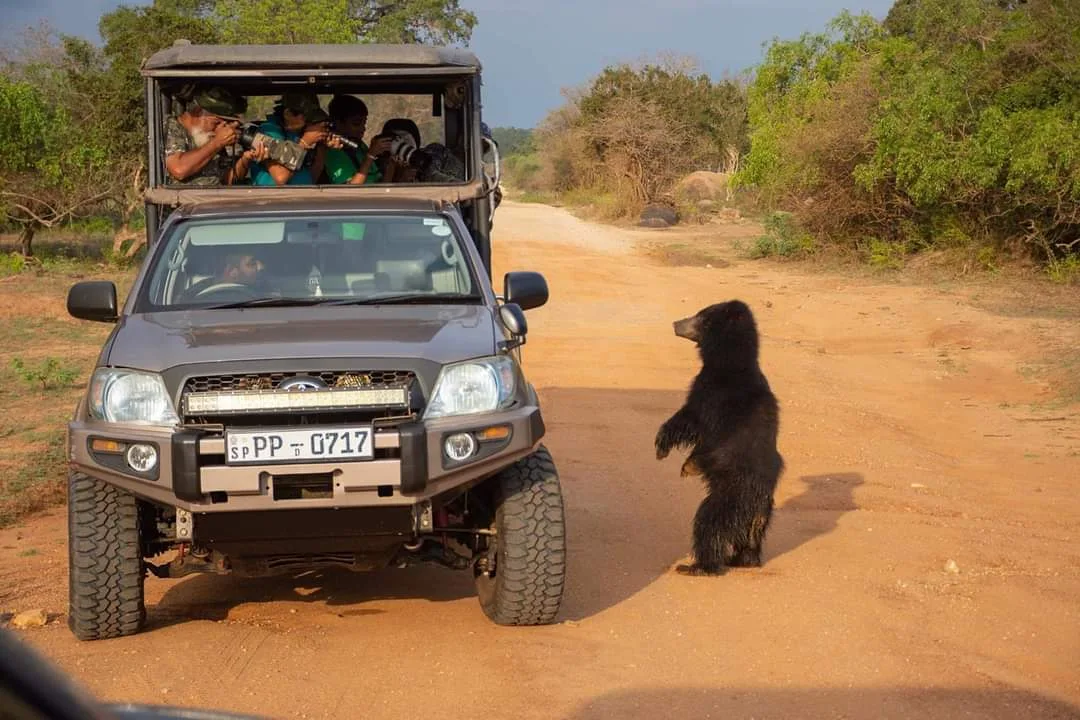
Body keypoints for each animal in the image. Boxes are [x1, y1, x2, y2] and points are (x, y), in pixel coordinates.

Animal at [654, 299, 784, 576]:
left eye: (701, 316)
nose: (675, 323)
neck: (729, 362)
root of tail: (758, 509)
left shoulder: (713, 392)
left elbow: (691, 417)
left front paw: (680, 461)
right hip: (754, 520)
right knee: (747, 544)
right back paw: (743, 560)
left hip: (730, 497)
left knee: (708, 523)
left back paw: (698, 566)